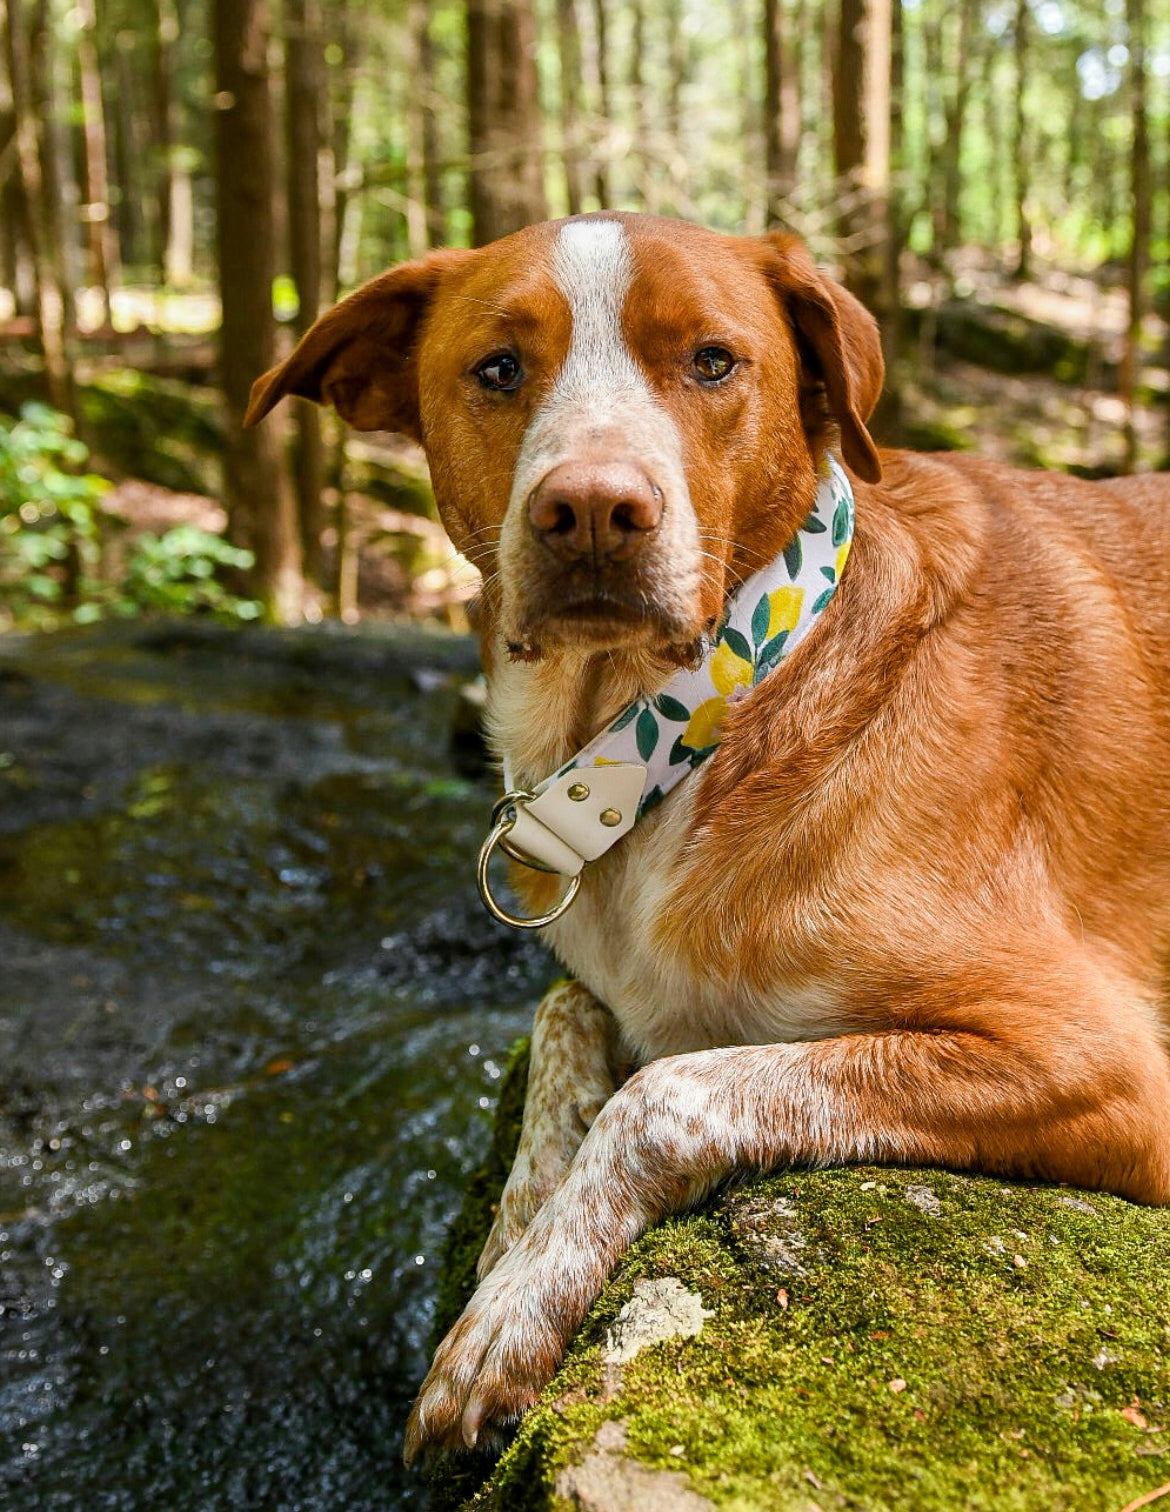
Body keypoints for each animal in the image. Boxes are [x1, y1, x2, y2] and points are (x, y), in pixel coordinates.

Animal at [247, 213, 1170, 1463]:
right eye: (498, 369)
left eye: (714, 361)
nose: (592, 510)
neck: (680, 732)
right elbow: (564, 1013)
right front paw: (515, 1219)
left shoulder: (1097, 1059)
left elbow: (665, 1093)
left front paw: (515, 1303)